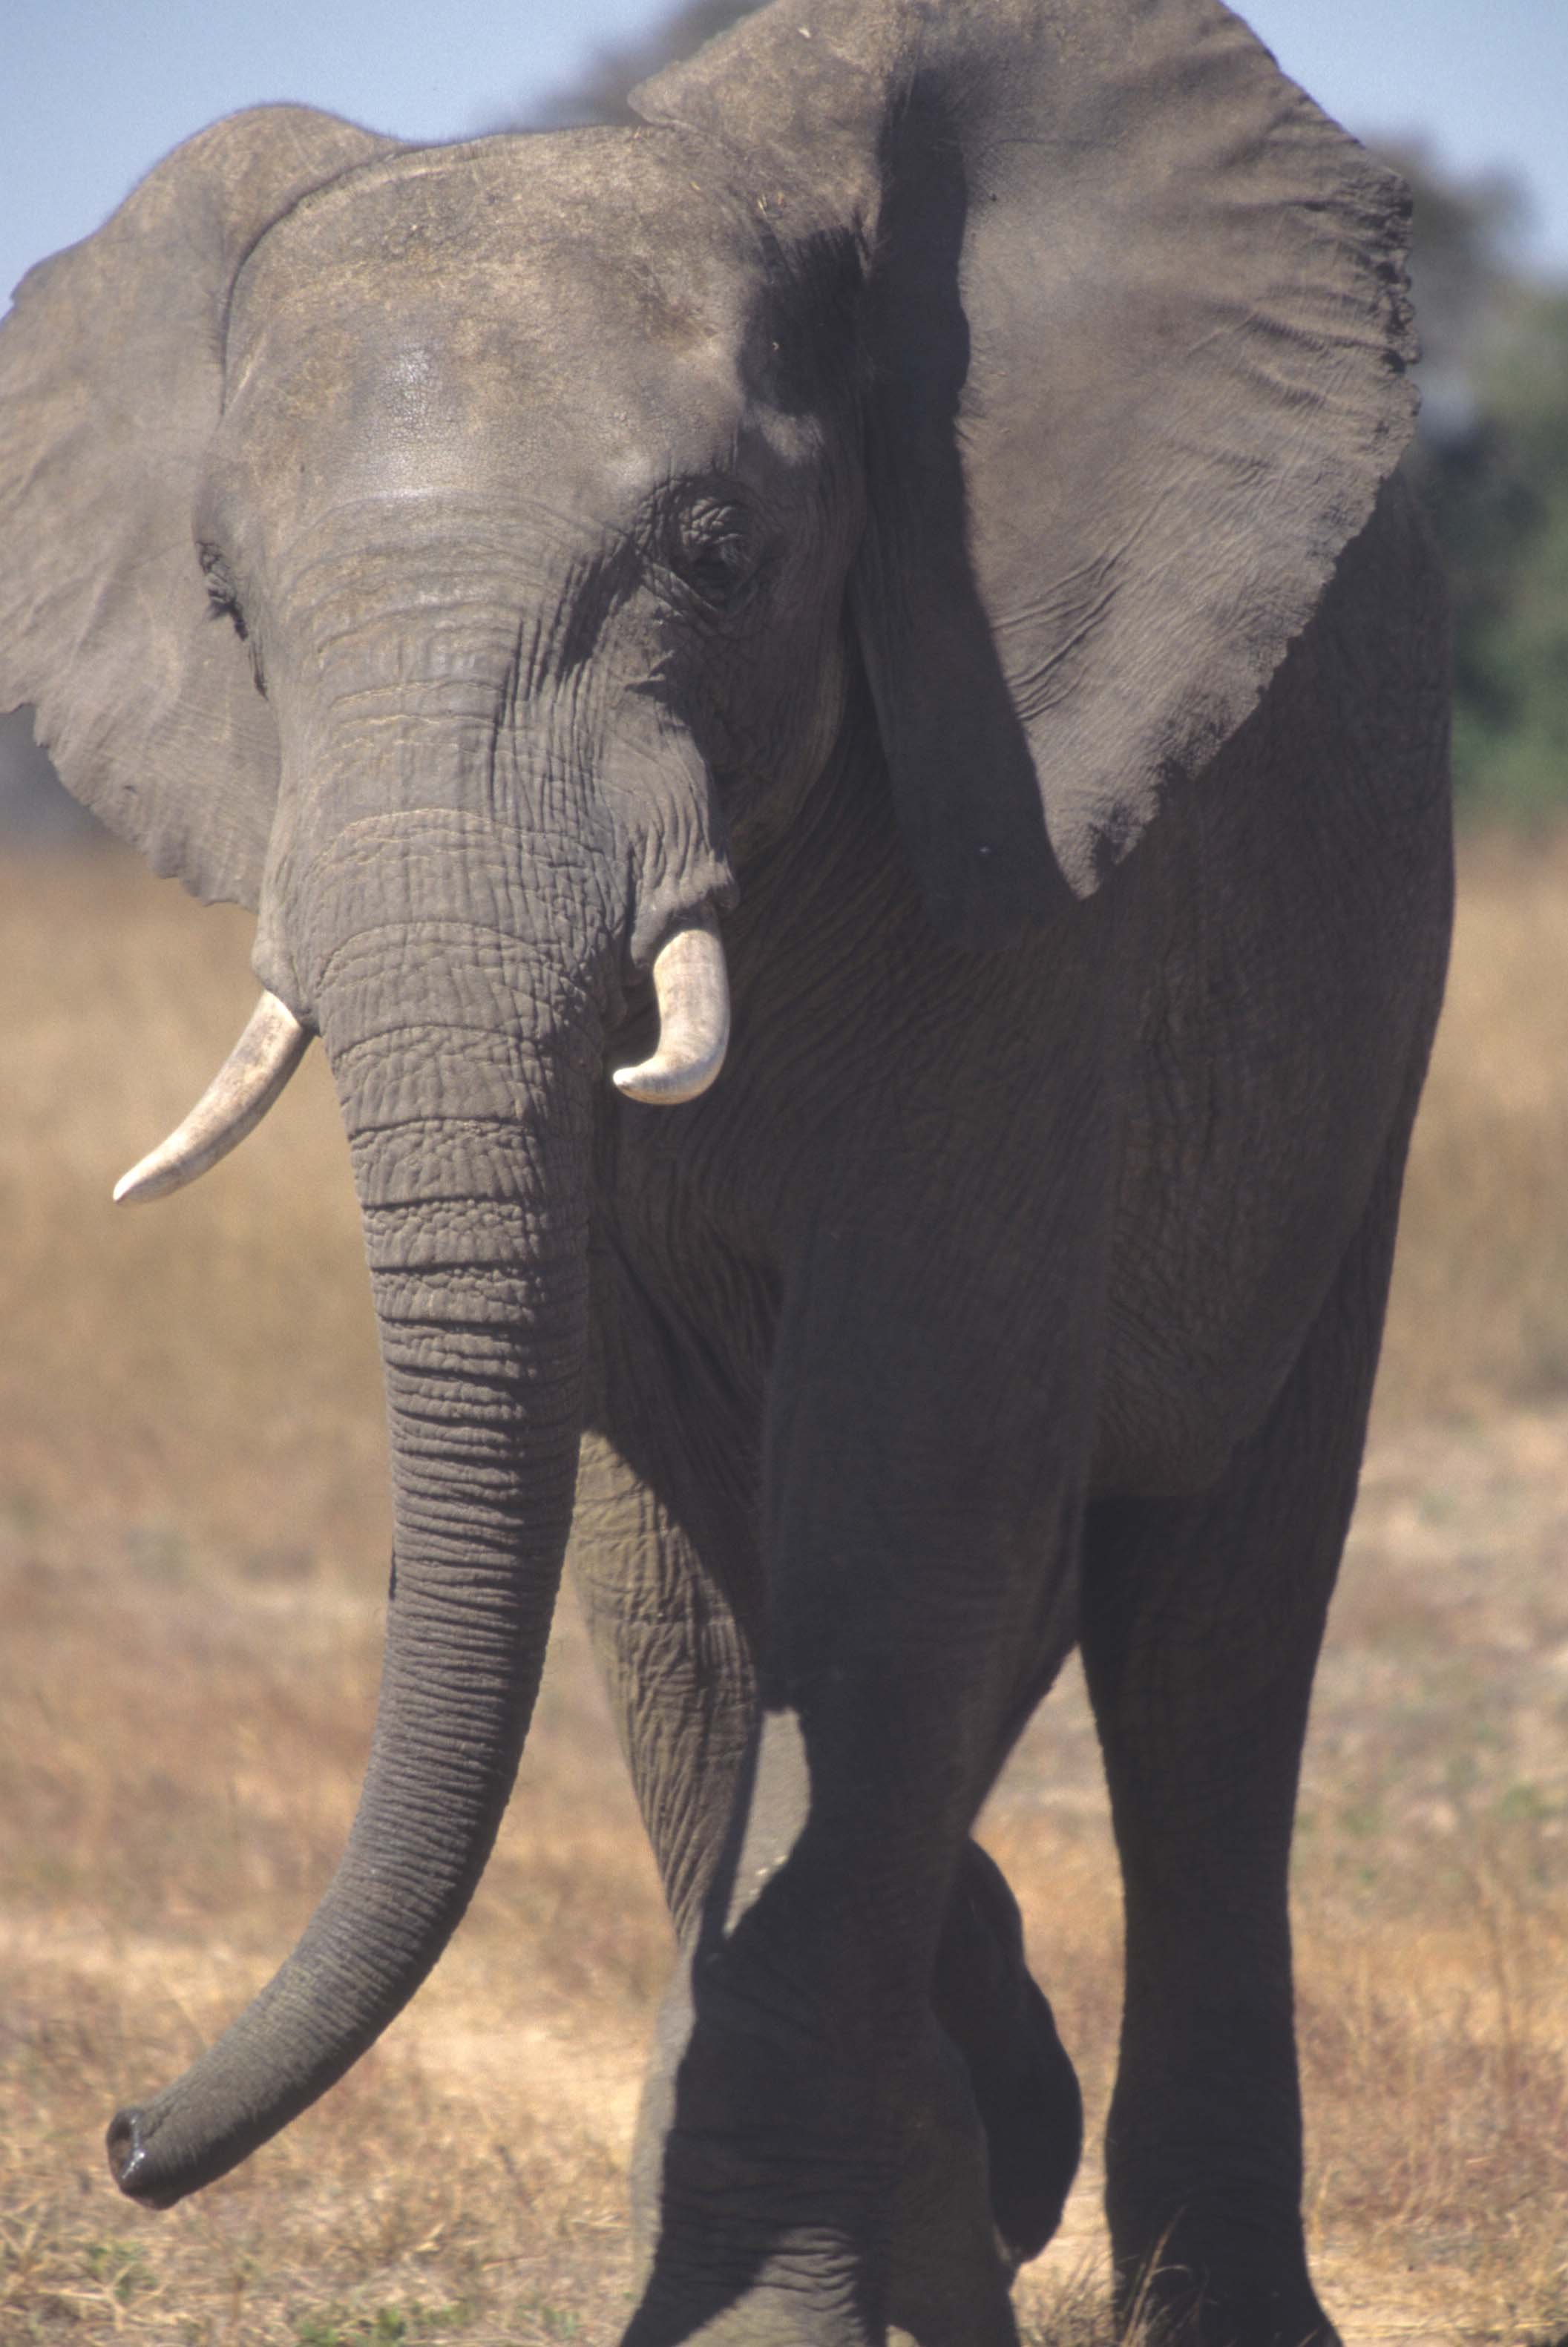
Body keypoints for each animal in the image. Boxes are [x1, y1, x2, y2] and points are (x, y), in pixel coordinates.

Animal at [0, 0, 1452, 2339]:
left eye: (710, 546)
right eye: (224, 606)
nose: (127, 2138)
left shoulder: (1017, 831)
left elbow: (897, 1493)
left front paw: (794, 2286)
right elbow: (670, 1558)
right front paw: (853, 2236)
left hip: (1353, 1039)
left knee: (1209, 1637)